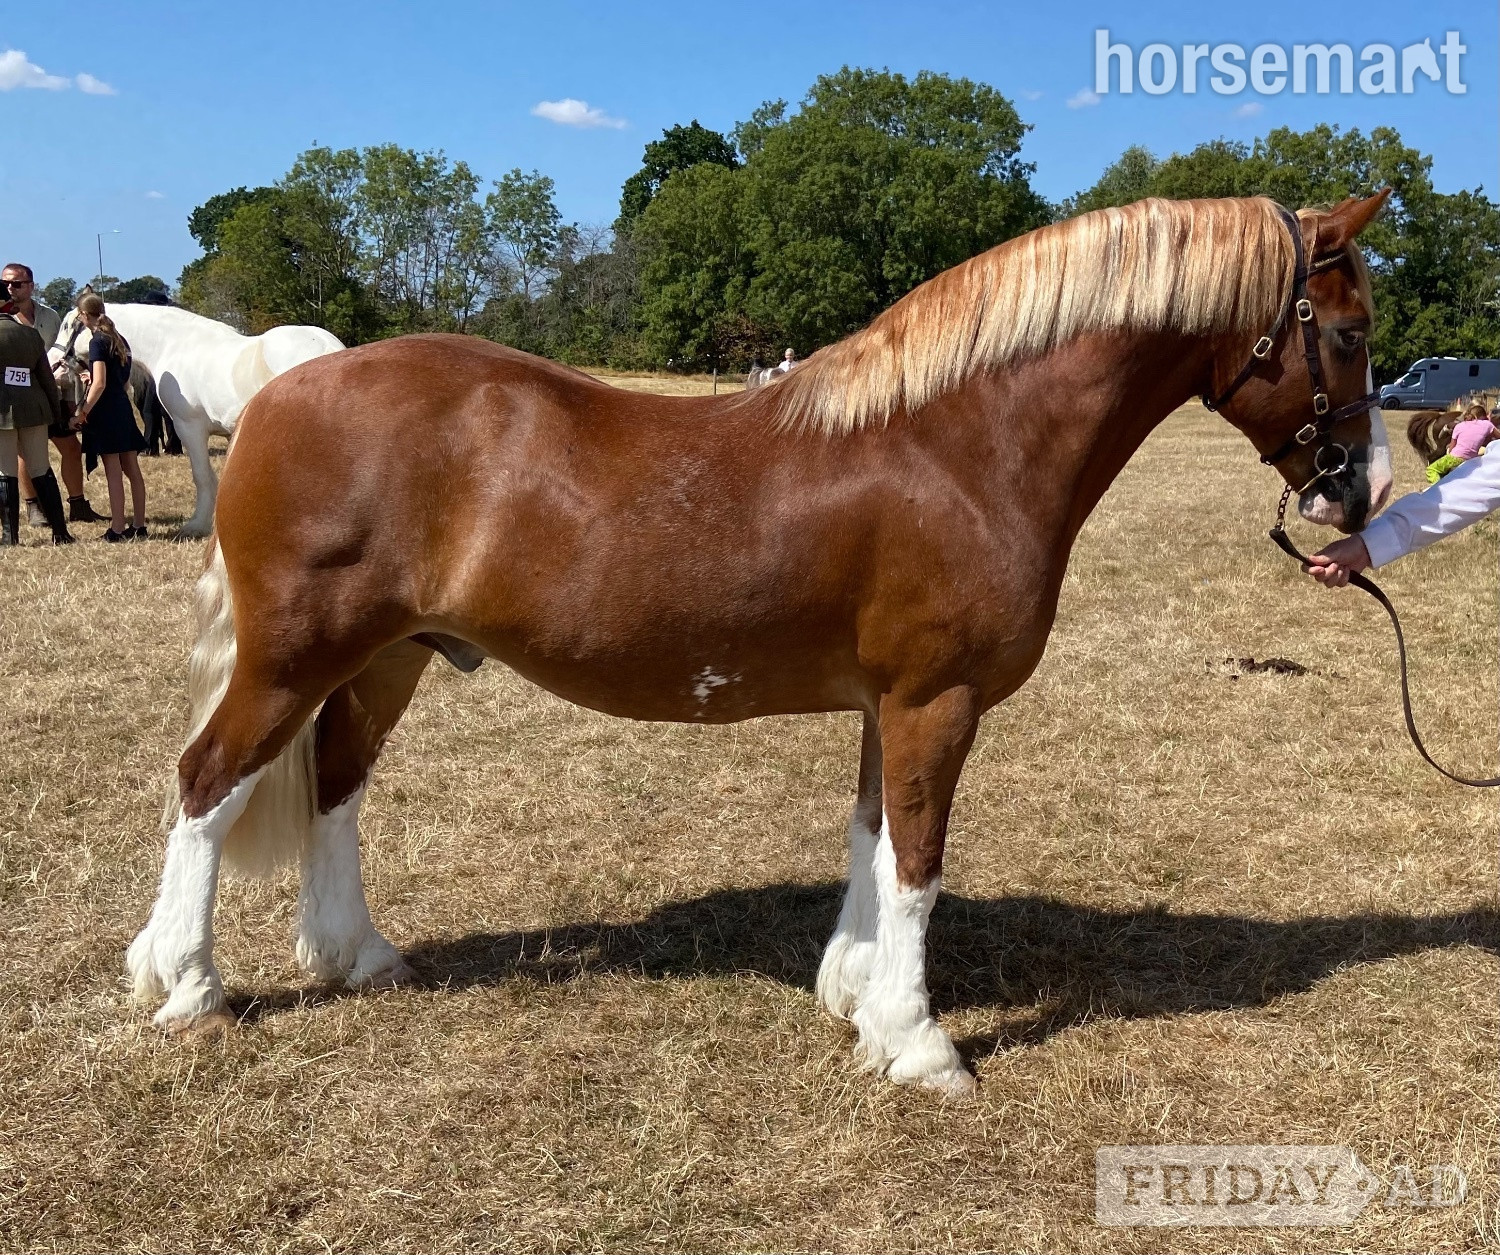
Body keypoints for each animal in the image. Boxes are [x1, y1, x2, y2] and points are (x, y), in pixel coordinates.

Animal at [55, 303, 344, 537]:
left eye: (69, 325)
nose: (54, 362)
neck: (175, 345)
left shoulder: (189, 428)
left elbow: (202, 476)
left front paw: (198, 524)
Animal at [126, 193, 1393, 1095]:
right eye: (1346, 332)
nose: (1359, 493)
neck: (961, 443)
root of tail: (282, 393)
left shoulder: (891, 702)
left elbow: (872, 839)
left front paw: (854, 995)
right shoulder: (936, 699)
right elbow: (919, 862)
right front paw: (921, 1045)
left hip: (388, 657)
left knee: (335, 785)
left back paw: (359, 955)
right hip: (293, 658)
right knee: (206, 784)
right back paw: (190, 986)